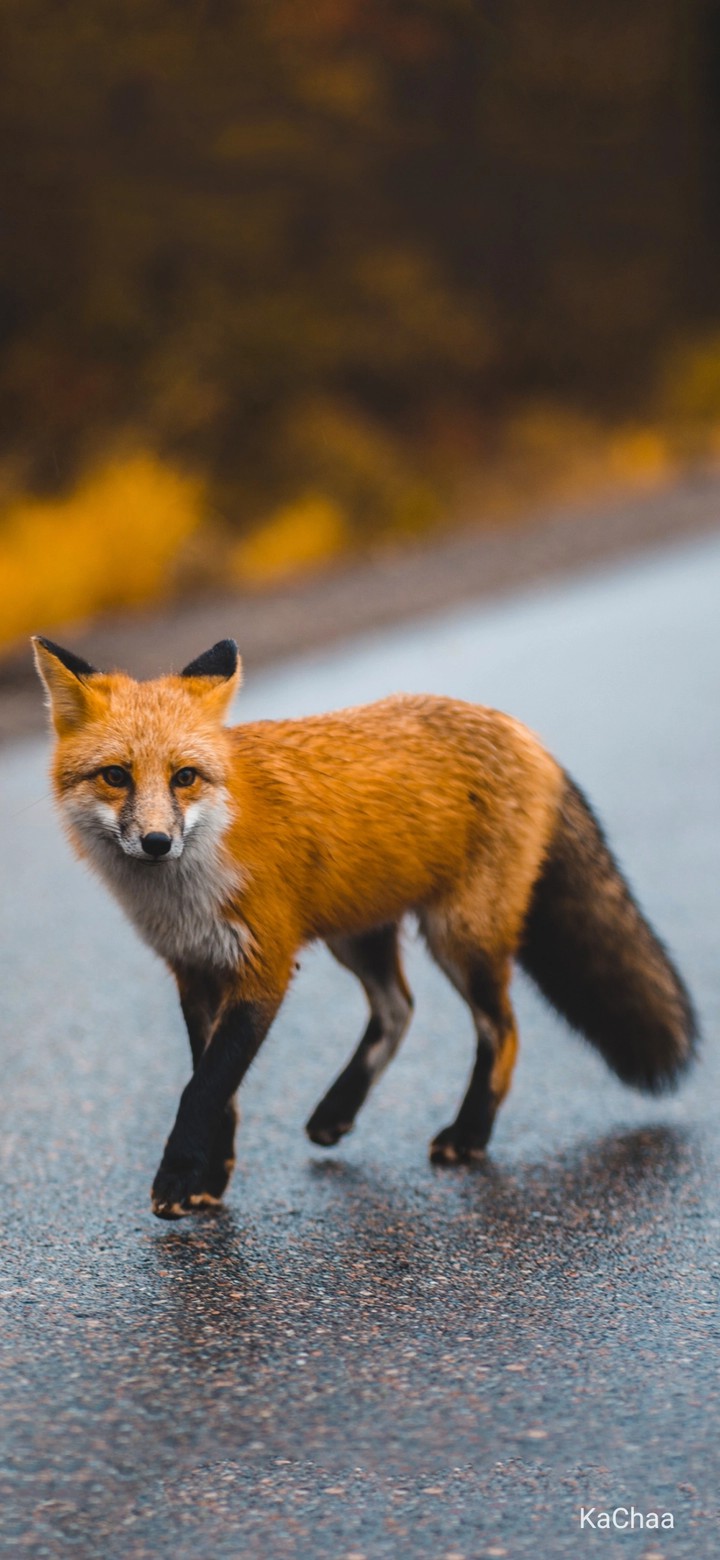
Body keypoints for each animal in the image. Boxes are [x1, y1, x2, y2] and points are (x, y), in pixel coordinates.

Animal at [33, 634, 697, 1219]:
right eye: (116, 776)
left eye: (184, 777)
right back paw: (338, 1110)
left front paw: (176, 1178)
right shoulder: (196, 971)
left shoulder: (265, 968)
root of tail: (522, 732)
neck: (190, 886)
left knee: (501, 1030)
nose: (156, 842)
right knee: (399, 1009)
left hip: (458, 937)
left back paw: (469, 1133)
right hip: (357, 936)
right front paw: (211, 1177)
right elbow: (219, 1090)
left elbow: (204, 1089)